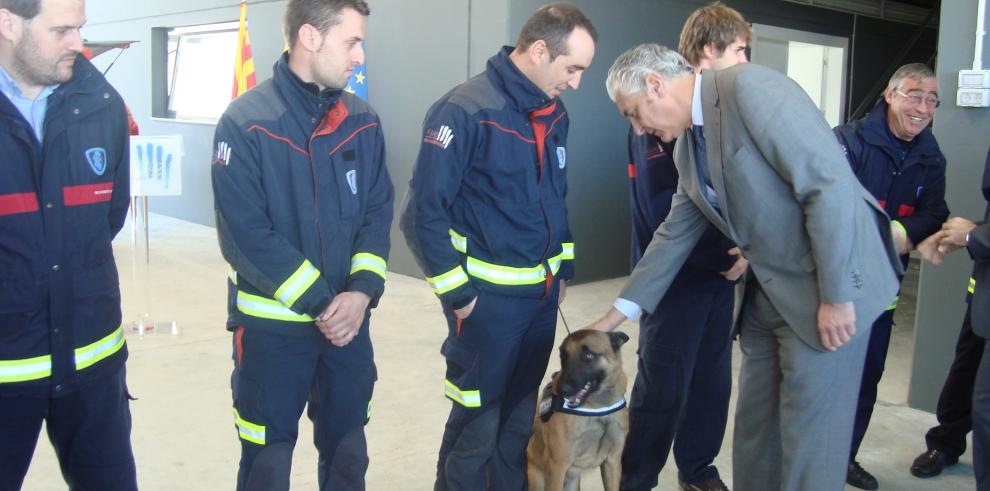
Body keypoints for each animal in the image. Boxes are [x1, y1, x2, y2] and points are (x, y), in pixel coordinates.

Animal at [528, 330, 628, 491]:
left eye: (587, 356)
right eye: (563, 355)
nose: (561, 389)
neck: (597, 409)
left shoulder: (613, 461)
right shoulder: (557, 465)